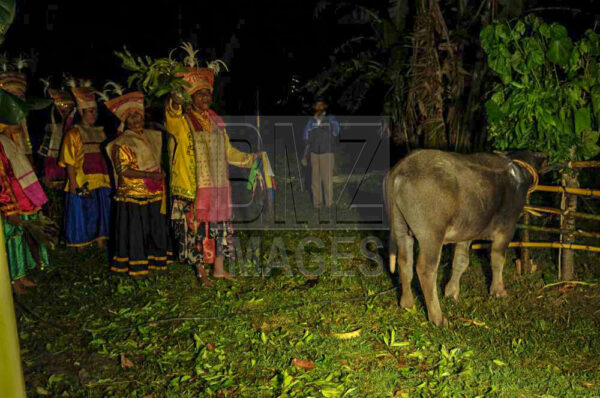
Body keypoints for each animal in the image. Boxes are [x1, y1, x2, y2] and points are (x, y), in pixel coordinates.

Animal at [386, 149, 548, 326]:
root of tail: (403, 167)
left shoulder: (466, 233)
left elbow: (461, 261)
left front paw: (451, 291)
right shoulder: (507, 228)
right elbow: (498, 260)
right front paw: (498, 291)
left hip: (400, 226)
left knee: (404, 261)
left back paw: (406, 303)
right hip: (431, 235)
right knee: (425, 269)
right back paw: (438, 318)